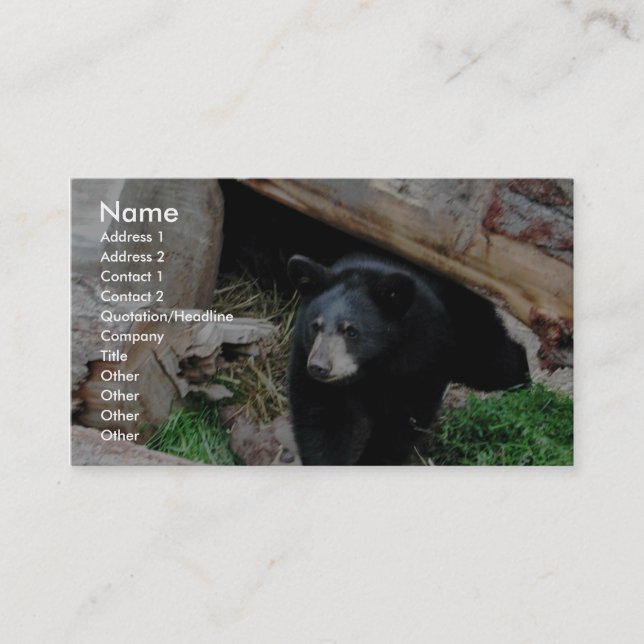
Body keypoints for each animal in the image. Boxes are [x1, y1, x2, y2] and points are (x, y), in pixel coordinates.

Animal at [287, 253, 530, 465]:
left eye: (351, 331)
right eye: (315, 325)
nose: (319, 367)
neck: (372, 365)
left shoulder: (420, 356)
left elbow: (403, 420)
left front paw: (374, 460)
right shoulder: (305, 355)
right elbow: (323, 419)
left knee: (493, 363)